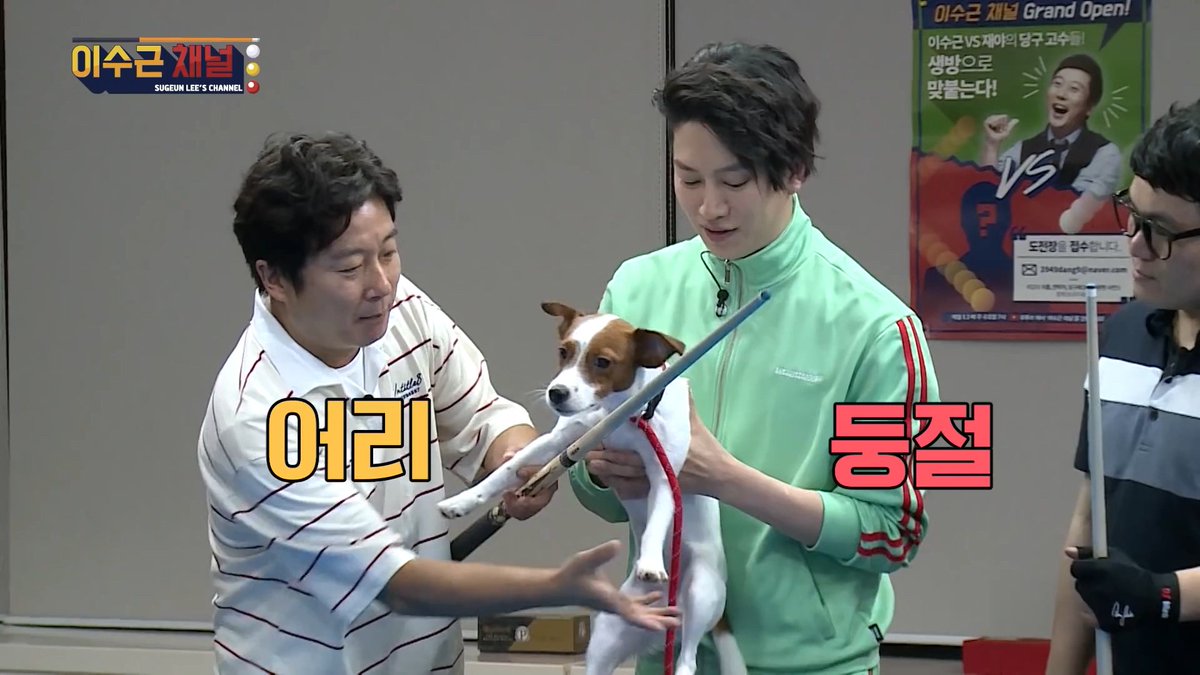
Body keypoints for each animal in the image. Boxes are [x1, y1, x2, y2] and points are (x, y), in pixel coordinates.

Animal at [437, 302, 746, 675]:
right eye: (563, 352)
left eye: (603, 362)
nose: (557, 393)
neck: (620, 412)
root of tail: (668, 613)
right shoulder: (560, 441)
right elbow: (507, 471)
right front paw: (464, 500)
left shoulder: (663, 478)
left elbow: (657, 522)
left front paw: (650, 561)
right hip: (608, 637)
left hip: (701, 592)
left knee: (687, 659)